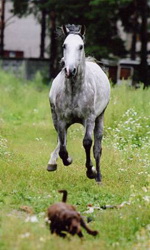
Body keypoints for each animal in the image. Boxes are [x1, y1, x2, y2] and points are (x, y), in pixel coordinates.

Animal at [47, 24, 110, 183]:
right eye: (64, 45)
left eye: (81, 46)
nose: (70, 70)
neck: (74, 92)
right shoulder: (61, 120)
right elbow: (63, 148)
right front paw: (67, 160)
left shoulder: (89, 119)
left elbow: (87, 143)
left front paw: (91, 171)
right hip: (56, 118)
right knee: (61, 139)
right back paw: (52, 163)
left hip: (99, 118)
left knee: (97, 147)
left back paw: (98, 176)